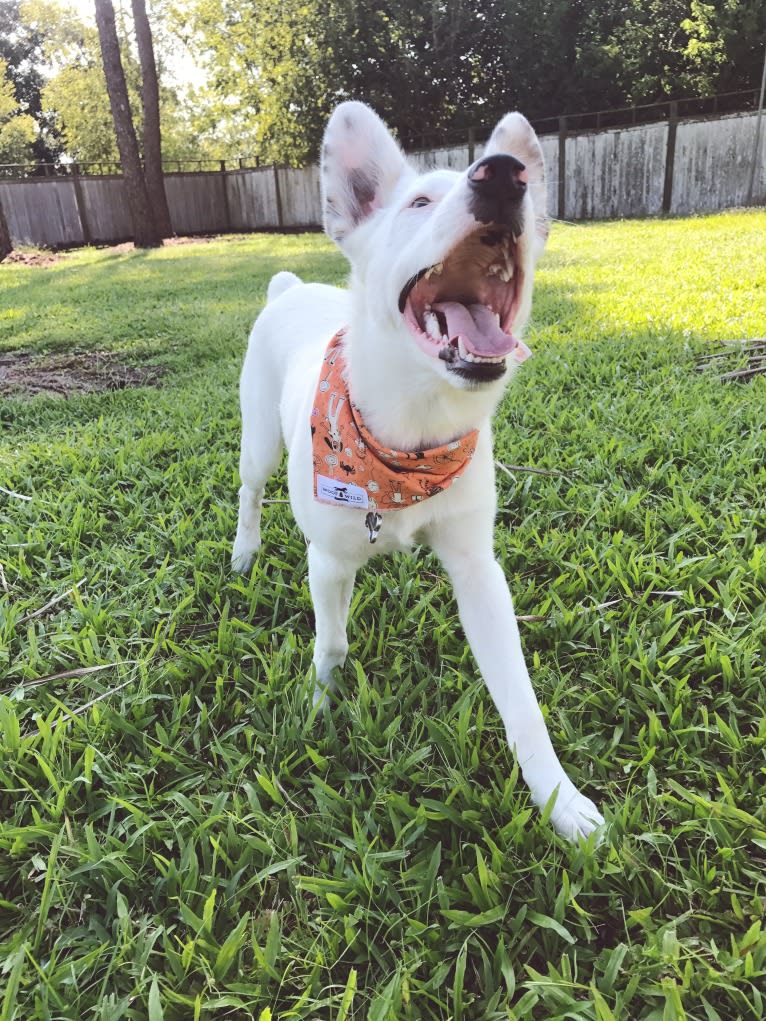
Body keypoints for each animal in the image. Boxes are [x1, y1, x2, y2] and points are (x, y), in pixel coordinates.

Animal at [233, 101, 604, 837]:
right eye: (419, 203)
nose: (503, 176)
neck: (410, 434)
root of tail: (289, 288)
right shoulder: (328, 561)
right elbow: (332, 644)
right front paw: (319, 707)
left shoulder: (479, 569)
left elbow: (521, 699)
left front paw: (559, 799)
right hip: (258, 440)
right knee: (249, 488)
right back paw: (244, 548)